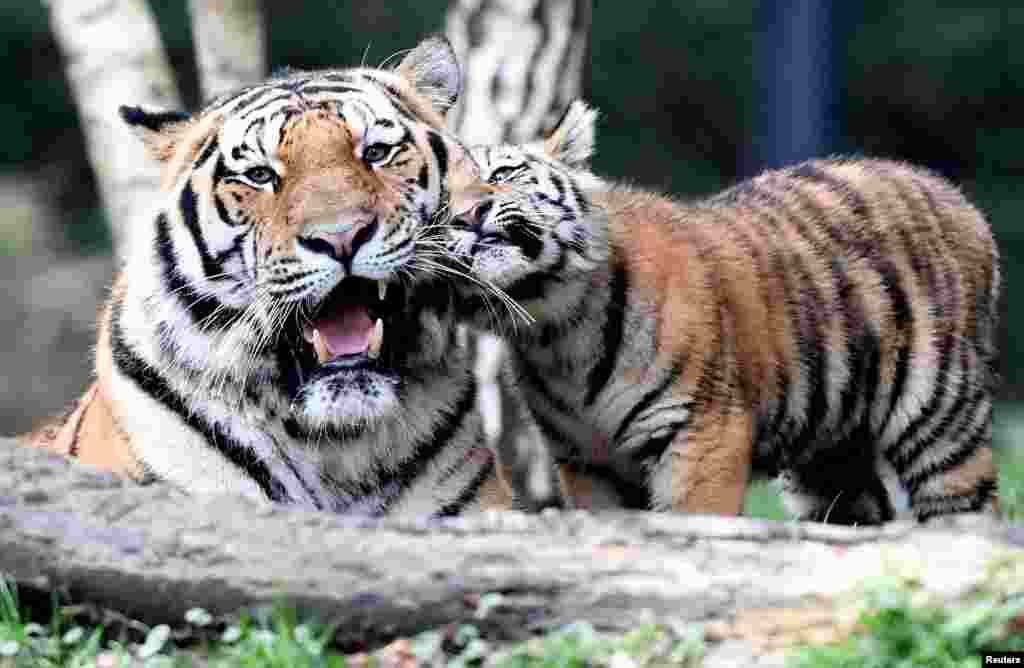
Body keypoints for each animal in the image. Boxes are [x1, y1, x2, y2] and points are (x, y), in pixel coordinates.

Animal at [446, 101, 999, 524]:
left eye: (501, 174)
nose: (464, 215)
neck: (554, 326)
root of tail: (958, 197)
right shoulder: (588, 463)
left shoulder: (702, 433)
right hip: (829, 458)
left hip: (941, 420)